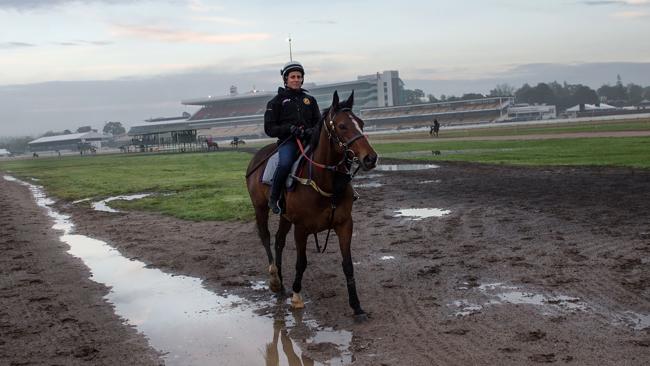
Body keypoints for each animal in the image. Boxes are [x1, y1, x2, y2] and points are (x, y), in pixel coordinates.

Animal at [244, 91, 378, 320]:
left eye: (361, 123)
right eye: (342, 126)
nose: (370, 158)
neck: (324, 180)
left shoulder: (344, 224)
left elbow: (348, 264)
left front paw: (356, 306)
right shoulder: (302, 228)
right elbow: (302, 262)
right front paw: (297, 297)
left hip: (284, 216)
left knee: (279, 241)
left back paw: (281, 285)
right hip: (260, 208)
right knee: (266, 238)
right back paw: (274, 278)